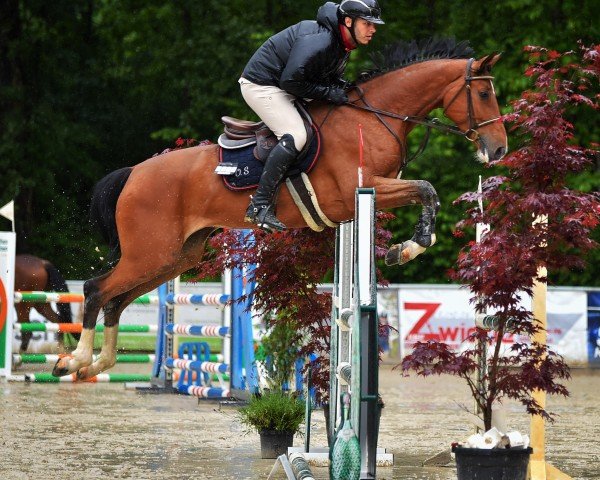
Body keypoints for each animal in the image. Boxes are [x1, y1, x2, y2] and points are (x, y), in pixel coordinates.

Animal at [54, 38, 508, 378]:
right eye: (485, 93)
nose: (499, 149)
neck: (375, 117)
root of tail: (133, 173)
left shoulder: (372, 194)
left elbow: (425, 192)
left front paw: (405, 247)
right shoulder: (363, 188)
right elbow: (427, 189)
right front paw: (410, 247)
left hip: (175, 257)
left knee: (116, 300)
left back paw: (98, 363)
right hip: (150, 253)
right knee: (97, 289)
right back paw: (74, 360)